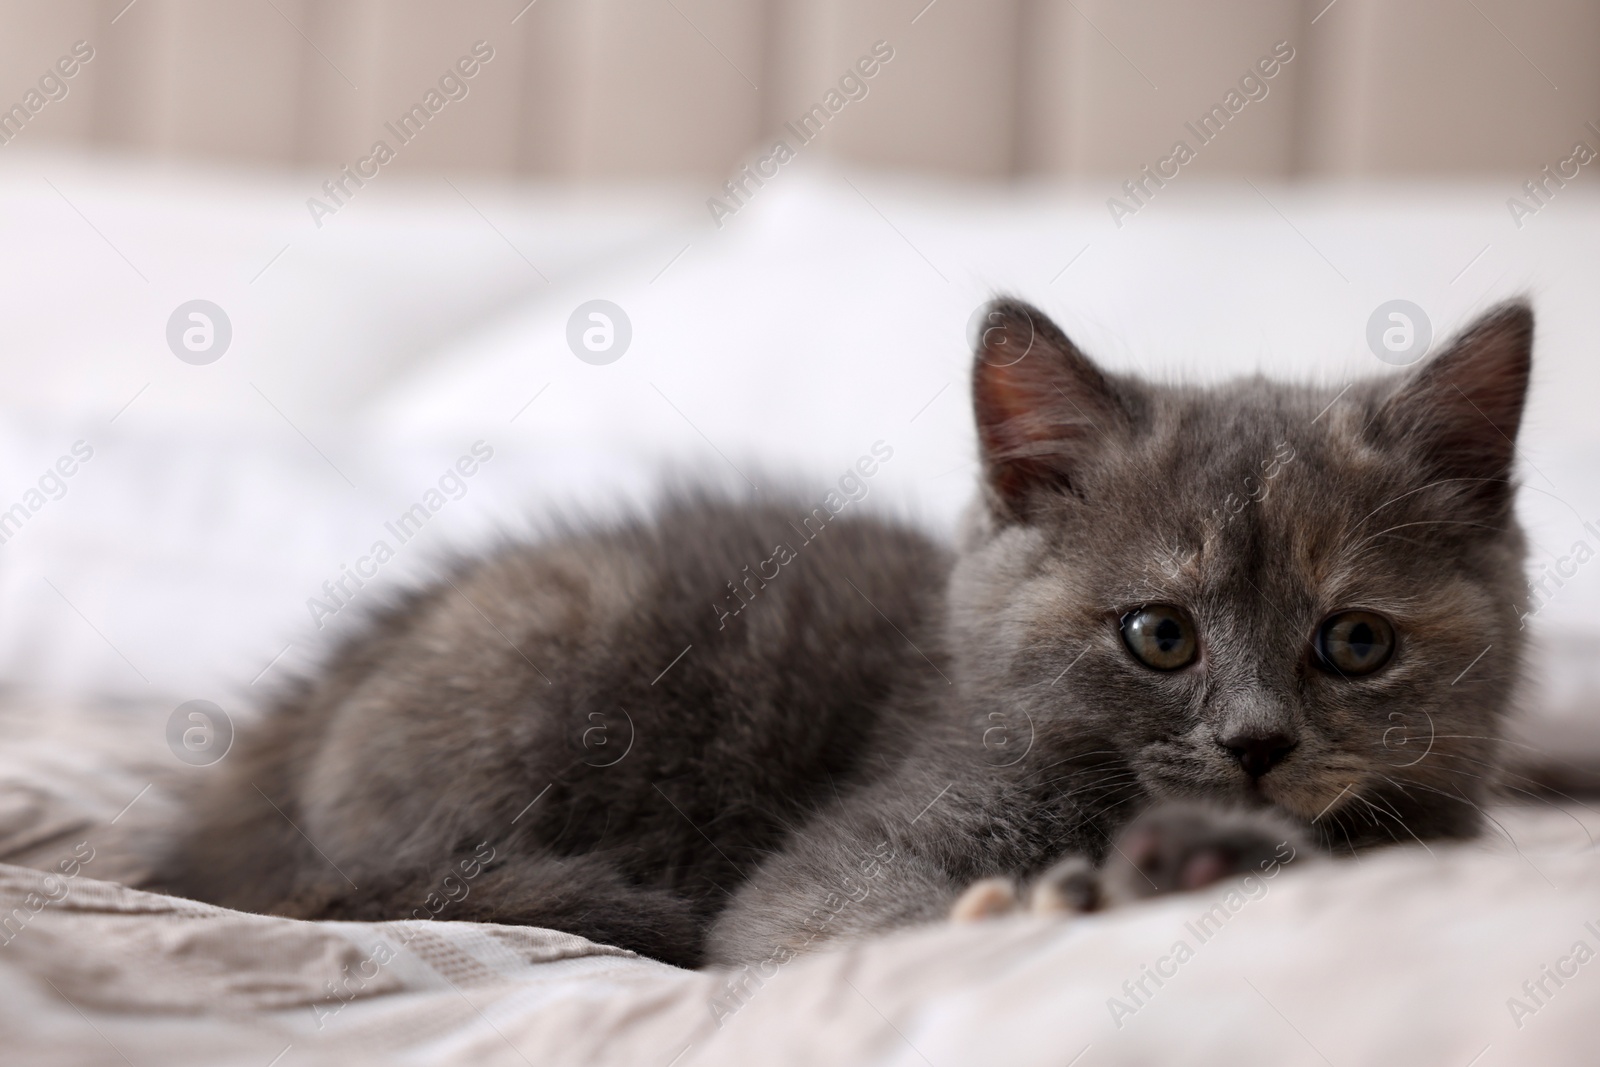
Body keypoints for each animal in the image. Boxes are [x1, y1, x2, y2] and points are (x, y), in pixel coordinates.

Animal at [152, 295, 1536, 972]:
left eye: (1354, 642)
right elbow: (829, 915)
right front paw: (1050, 901)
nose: (1254, 743)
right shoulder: (868, 832)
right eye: (1157, 633)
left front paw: (1196, 864)